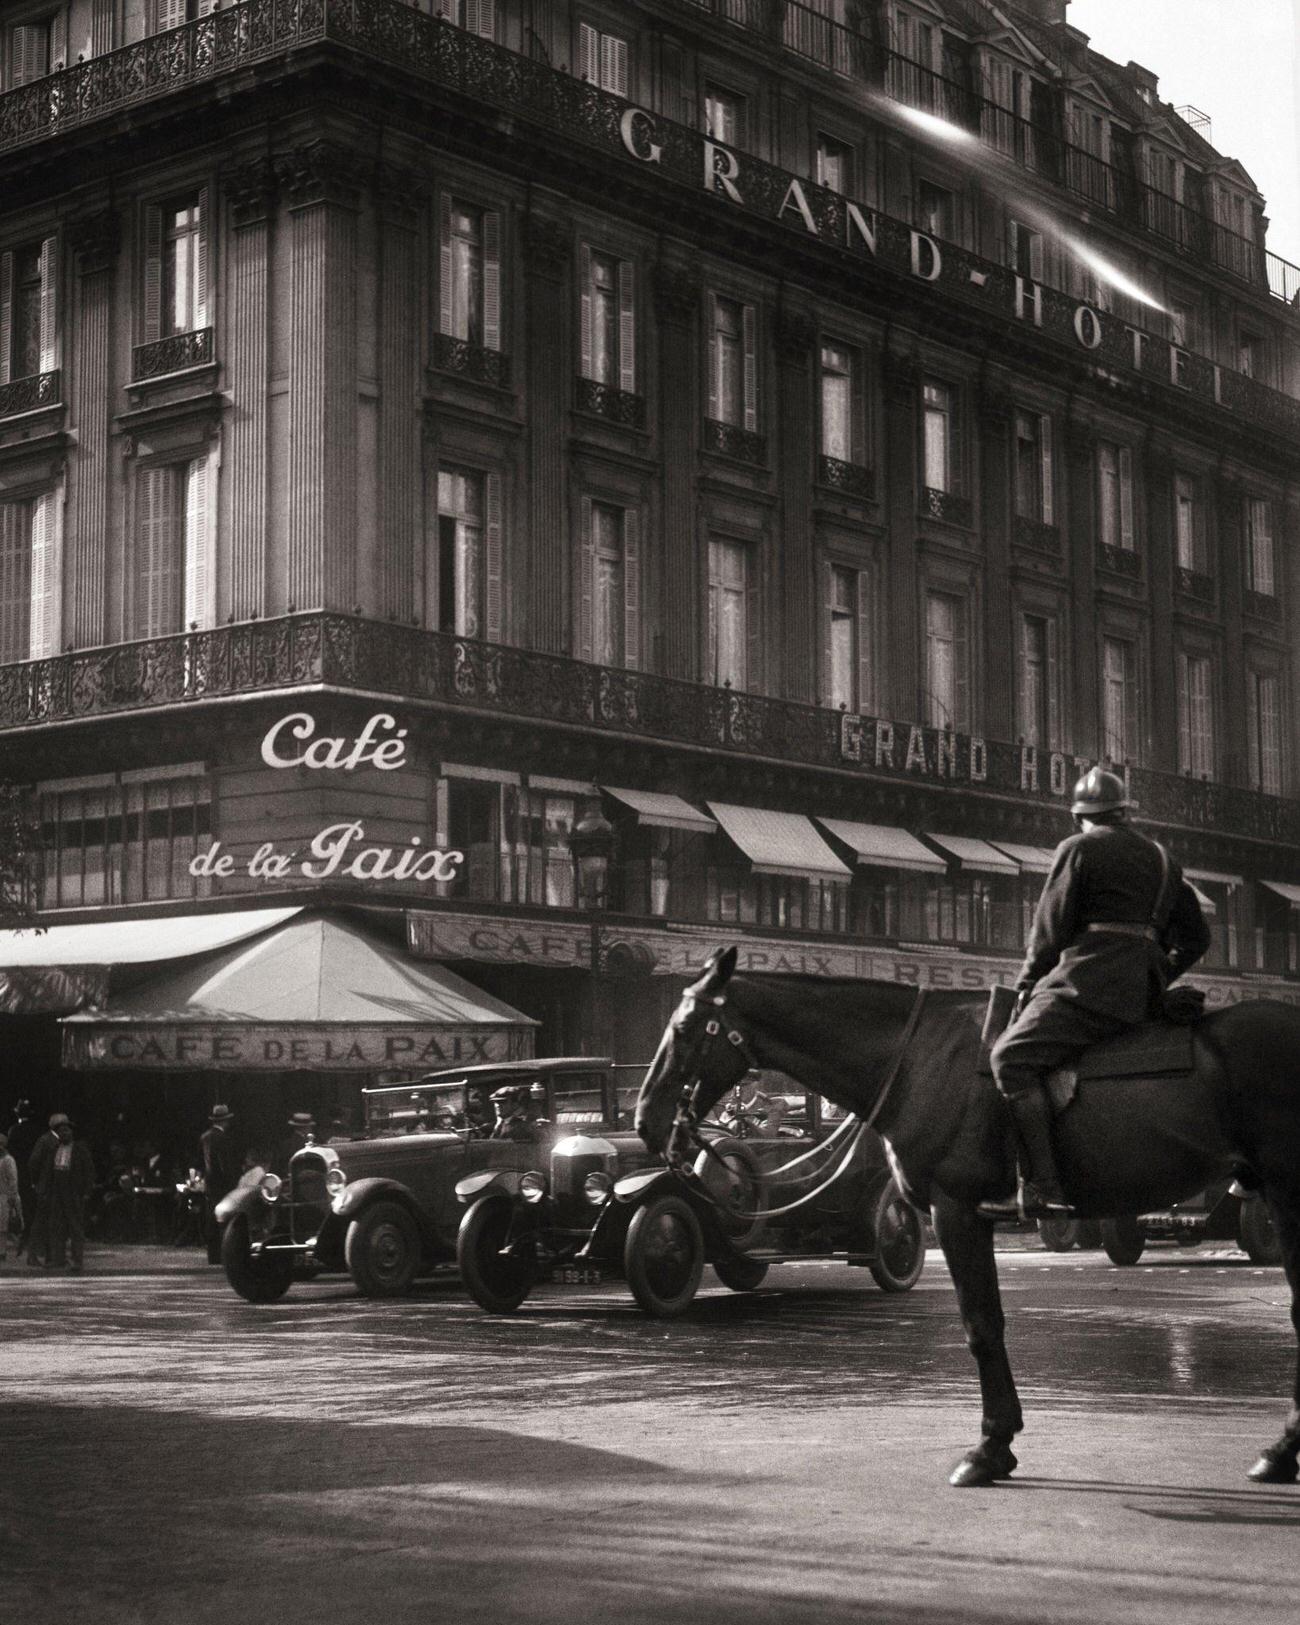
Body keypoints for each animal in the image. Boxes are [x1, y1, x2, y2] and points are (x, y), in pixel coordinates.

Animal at [633, 949, 1300, 1488]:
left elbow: (981, 1325)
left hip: (1285, 1190)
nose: (644, 1119)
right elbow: (987, 1321)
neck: (918, 1058)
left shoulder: (955, 1211)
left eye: (685, 1026)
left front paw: (990, 1448)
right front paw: (999, 1441)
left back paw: (1282, 1449)